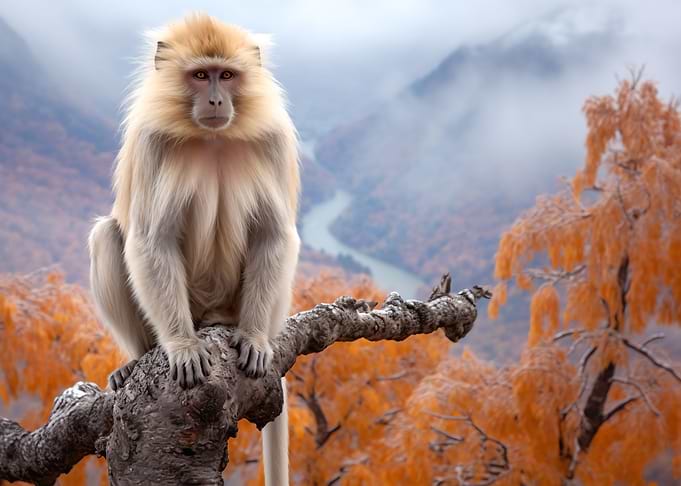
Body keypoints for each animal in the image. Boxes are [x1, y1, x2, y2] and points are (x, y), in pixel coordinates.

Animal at [88, 14, 299, 486]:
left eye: (227, 75)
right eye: (201, 75)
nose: (217, 99)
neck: (213, 138)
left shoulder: (272, 139)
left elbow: (274, 234)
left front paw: (254, 338)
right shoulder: (151, 142)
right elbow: (151, 239)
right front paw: (182, 346)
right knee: (108, 236)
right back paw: (138, 359)